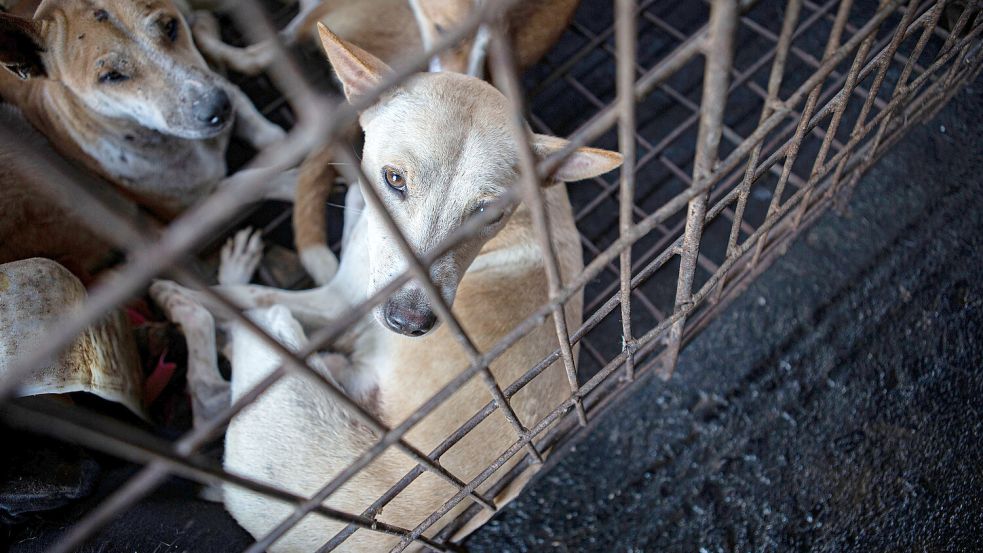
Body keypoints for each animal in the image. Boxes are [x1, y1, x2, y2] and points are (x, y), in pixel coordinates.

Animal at [154, 24, 624, 548]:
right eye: (395, 178)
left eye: (489, 212)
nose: (409, 322)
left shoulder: (339, 300)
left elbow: (241, 296)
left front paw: (182, 284)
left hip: (282, 351)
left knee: (220, 376)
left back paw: (195, 302)